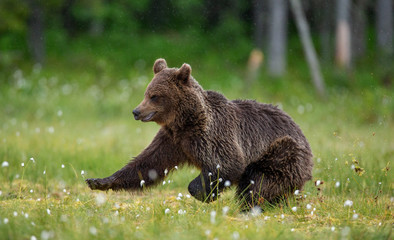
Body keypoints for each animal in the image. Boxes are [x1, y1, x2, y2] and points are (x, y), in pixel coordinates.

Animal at [87, 58, 314, 210]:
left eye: (154, 96)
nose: (136, 111)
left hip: (280, 152)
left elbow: (228, 163)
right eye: (146, 93)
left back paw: (250, 207)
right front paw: (99, 181)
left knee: (258, 183)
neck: (184, 121)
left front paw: (203, 194)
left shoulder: (212, 135)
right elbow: (147, 164)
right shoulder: (172, 140)